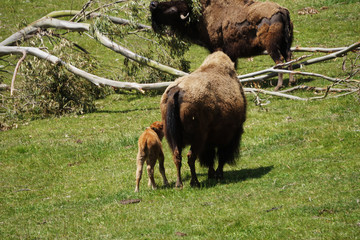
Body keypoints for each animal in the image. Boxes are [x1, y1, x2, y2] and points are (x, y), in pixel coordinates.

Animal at [150, 0, 294, 90]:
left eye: (172, 8)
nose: (153, 4)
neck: (200, 15)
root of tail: (282, 11)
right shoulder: (231, 54)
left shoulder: (217, 48)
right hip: (285, 45)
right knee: (289, 57)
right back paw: (291, 81)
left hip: (272, 47)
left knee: (279, 61)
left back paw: (278, 86)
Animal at [161, 52, 248, 188]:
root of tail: (177, 91)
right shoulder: (227, 136)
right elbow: (220, 156)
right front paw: (218, 174)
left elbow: (210, 157)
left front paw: (212, 174)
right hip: (197, 138)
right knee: (191, 157)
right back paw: (195, 182)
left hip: (173, 138)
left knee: (177, 156)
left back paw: (179, 184)